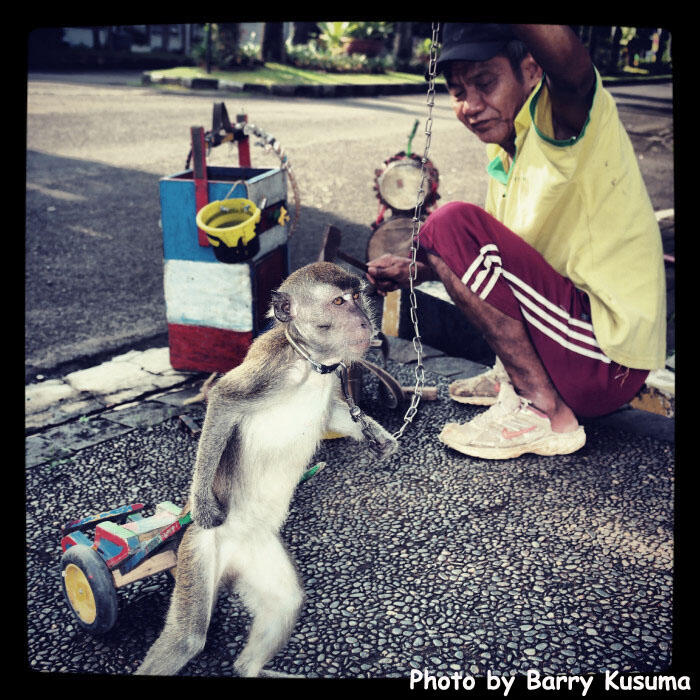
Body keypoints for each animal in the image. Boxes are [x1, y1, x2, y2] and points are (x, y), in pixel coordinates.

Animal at [135, 262, 396, 680]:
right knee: (186, 641)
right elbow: (223, 400)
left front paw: (381, 440)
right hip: (200, 549)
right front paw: (203, 504)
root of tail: (231, 562)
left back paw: (251, 668)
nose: (363, 321)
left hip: (257, 556)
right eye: (338, 302)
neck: (309, 364)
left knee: (285, 601)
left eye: (357, 296)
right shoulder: (271, 369)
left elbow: (335, 415)